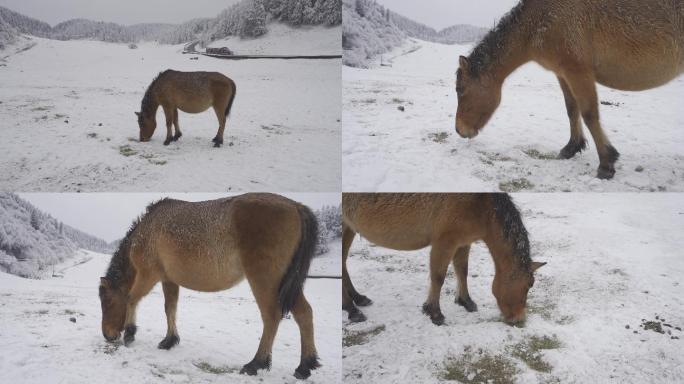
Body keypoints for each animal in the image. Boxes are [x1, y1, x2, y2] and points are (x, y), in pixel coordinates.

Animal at [98, 194, 320, 380]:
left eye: (107, 301)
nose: (107, 336)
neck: (147, 231)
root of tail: (296, 206)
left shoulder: (148, 275)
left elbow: (132, 298)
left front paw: (130, 333)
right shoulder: (169, 280)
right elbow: (170, 308)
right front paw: (169, 340)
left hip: (265, 281)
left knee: (271, 316)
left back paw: (256, 363)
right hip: (287, 284)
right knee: (304, 313)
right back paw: (304, 366)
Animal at [342, 194, 544, 326]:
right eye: (529, 285)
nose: (519, 319)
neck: (480, 206)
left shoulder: (463, 242)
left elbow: (462, 270)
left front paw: (465, 301)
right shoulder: (444, 243)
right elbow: (438, 277)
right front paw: (434, 312)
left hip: (349, 228)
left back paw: (358, 298)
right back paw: (351, 309)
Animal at [454, 0, 684, 180]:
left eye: (460, 89)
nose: (459, 130)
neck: (541, 22)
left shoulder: (578, 72)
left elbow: (589, 114)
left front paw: (606, 164)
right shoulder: (563, 73)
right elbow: (572, 109)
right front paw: (572, 147)